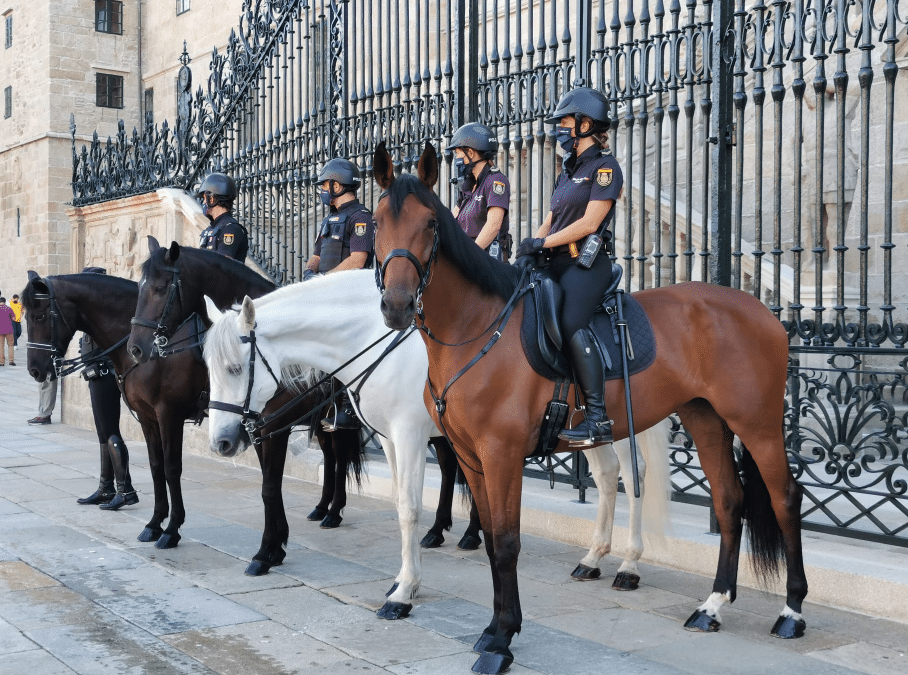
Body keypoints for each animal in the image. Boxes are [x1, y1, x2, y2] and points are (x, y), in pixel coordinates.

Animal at [206, 270, 672, 616]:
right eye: (208, 365)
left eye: (234, 368)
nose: (221, 442)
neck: (372, 340)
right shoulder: (391, 441)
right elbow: (401, 503)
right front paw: (404, 577)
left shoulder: (411, 435)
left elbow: (410, 508)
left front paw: (404, 591)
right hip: (584, 429)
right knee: (607, 475)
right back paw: (593, 558)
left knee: (634, 475)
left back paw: (629, 563)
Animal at [368, 143, 808, 675]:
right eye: (375, 222)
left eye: (432, 223)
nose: (396, 305)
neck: (477, 327)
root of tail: (761, 309)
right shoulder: (471, 457)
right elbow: (492, 539)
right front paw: (494, 629)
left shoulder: (502, 454)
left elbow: (507, 543)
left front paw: (501, 640)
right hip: (706, 419)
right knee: (728, 501)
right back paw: (713, 604)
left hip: (758, 423)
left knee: (785, 498)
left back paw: (791, 611)